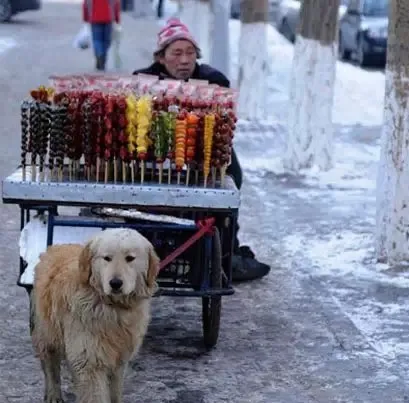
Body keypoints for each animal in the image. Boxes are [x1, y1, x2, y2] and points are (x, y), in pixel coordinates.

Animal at [30, 229, 159, 403]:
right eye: (107, 258)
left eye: (130, 258)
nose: (115, 283)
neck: (111, 308)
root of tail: (57, 245)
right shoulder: (89, 361)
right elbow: (95, 394)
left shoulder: (118, 360)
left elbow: (114, 392)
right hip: (47, 333)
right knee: (50, 366)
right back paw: (53, 394)